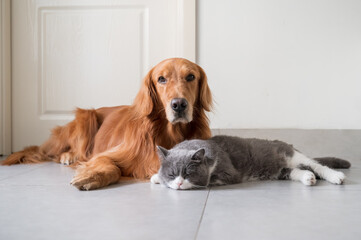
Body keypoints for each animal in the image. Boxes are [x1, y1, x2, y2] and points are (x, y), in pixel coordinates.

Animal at [150, 135, 350, 189]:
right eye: (172, 174)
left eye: (188, 174)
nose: (179, 182)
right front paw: (156, 177)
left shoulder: (229, 173)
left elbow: (210, 180)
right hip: (281, 170)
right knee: (295, 171)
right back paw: (308, 177)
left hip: (292, 154)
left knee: (317, 165)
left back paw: (335, 176)